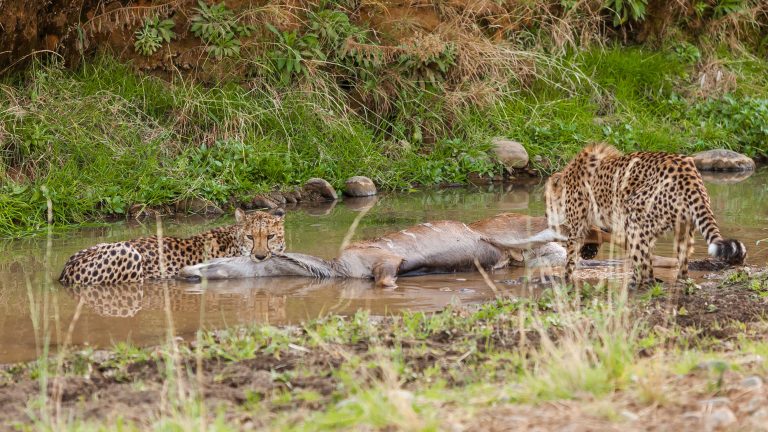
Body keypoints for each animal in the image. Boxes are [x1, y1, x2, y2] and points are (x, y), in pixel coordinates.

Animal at [545, 143, 746, 288]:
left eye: (546, 199)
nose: (546, 215)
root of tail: (688, 171)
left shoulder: (578, 226)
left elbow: (570, 255)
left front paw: (565, 279)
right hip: (683, 226)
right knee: (680, 264)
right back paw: (676, 282)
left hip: (633, 215)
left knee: (644, 267)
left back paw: (635, 284)